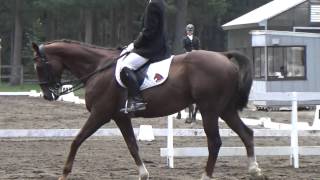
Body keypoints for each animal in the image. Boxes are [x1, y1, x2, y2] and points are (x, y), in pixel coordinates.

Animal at [31, 40, 266, 180]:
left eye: (39, 65)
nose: (48, 95)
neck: (98, 68)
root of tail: (223, 56)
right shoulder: (120, 117)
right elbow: (132, 145)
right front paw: (144, 174)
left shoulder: (100, 114)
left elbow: (76, 140)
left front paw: (64, 174)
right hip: (225, 110)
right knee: (247, 133)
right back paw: (254, 169)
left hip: (209, 110)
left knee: (215, 142)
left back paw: (206, 176)